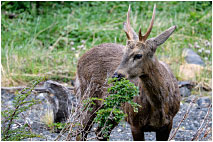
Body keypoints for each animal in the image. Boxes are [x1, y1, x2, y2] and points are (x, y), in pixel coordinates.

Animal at [74, 4, 181, 141]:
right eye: (124, 52)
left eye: (138, 55)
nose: (116, 75)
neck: (159, 107)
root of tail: (79, 60)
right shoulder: (134, 122)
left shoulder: (167, 124)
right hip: (88, 97)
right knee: (81, 131)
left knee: (100, 132)